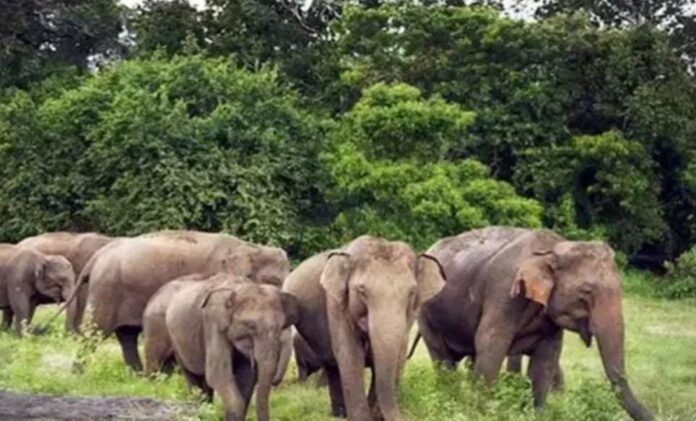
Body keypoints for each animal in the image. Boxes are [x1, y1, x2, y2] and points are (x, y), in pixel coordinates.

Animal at [51, 230, 291, 371]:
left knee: (127, 334)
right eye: (275, 281)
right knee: (95, 331)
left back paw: (136, 375)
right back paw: (79, 374)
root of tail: (97, 257)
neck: (251, 247)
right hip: (107, 289)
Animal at [165, 275, 299, 421]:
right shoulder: (213, 325)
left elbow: (247, 377)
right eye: (251, 326)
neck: (238, 288)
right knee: (193, 377)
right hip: (176, 341)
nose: (276, 381)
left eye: (280, 327)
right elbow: (218, 374)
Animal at [283, 235, 446, 421]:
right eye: (361, 290)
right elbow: (351, 355)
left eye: (412, 292)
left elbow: (397, 353)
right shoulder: (337, 304)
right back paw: (340, 415)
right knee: (332, 367)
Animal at [416, 227, 652, 421]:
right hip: (425, 313)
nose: (656, 415)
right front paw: (481, 413)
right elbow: (491, 345)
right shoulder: (503, 293)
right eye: (586, 292)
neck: (553, 249)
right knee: (443, 361)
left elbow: (546, 359)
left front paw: (538, 414)